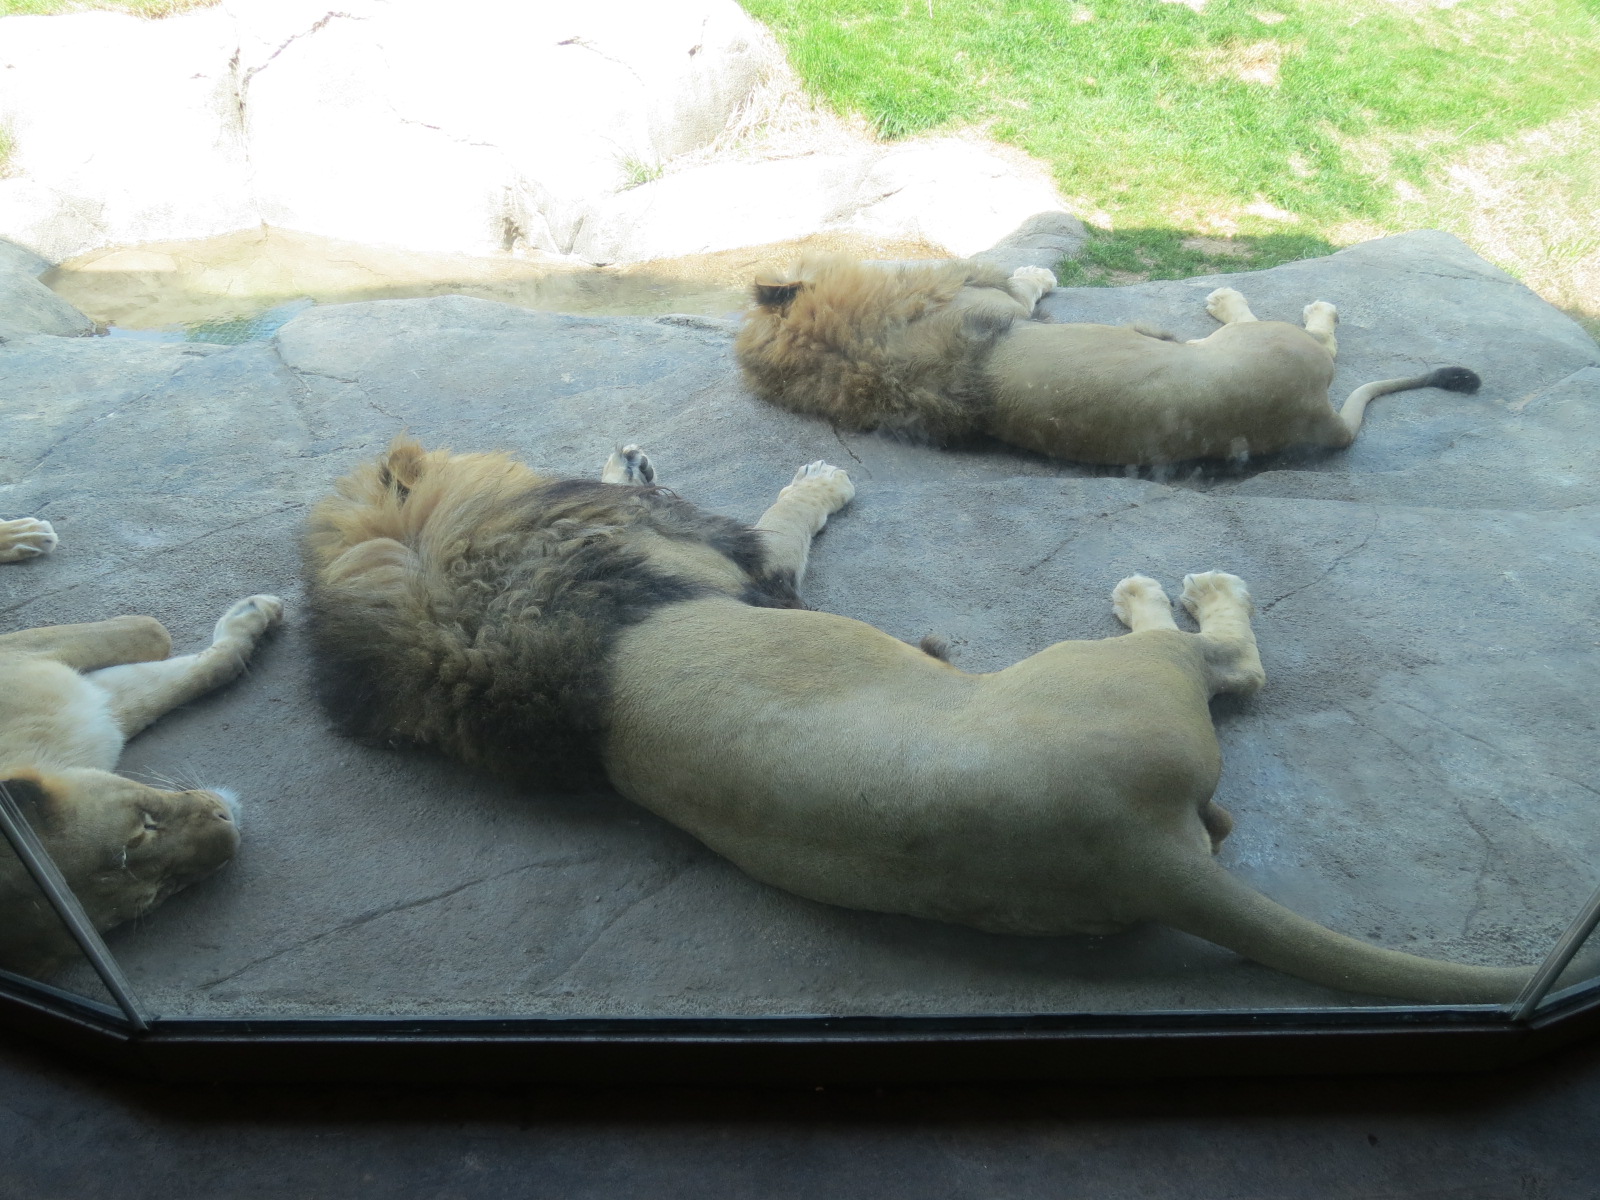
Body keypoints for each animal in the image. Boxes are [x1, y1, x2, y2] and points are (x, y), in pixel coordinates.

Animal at [305, 438, 1562, 1003]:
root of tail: (1138, 847)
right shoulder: (754, 566)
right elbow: (787, 513)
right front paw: (819, 477)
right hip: (1098, 668)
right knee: (1227, 663)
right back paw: (1182, 592)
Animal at [734, 256, 1482, 465]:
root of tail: (1314, 421)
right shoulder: (994, 302)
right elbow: (1023, 288)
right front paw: (1039, 271)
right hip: (1269, 346)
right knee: (1312, 338)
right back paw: (1241, 299)